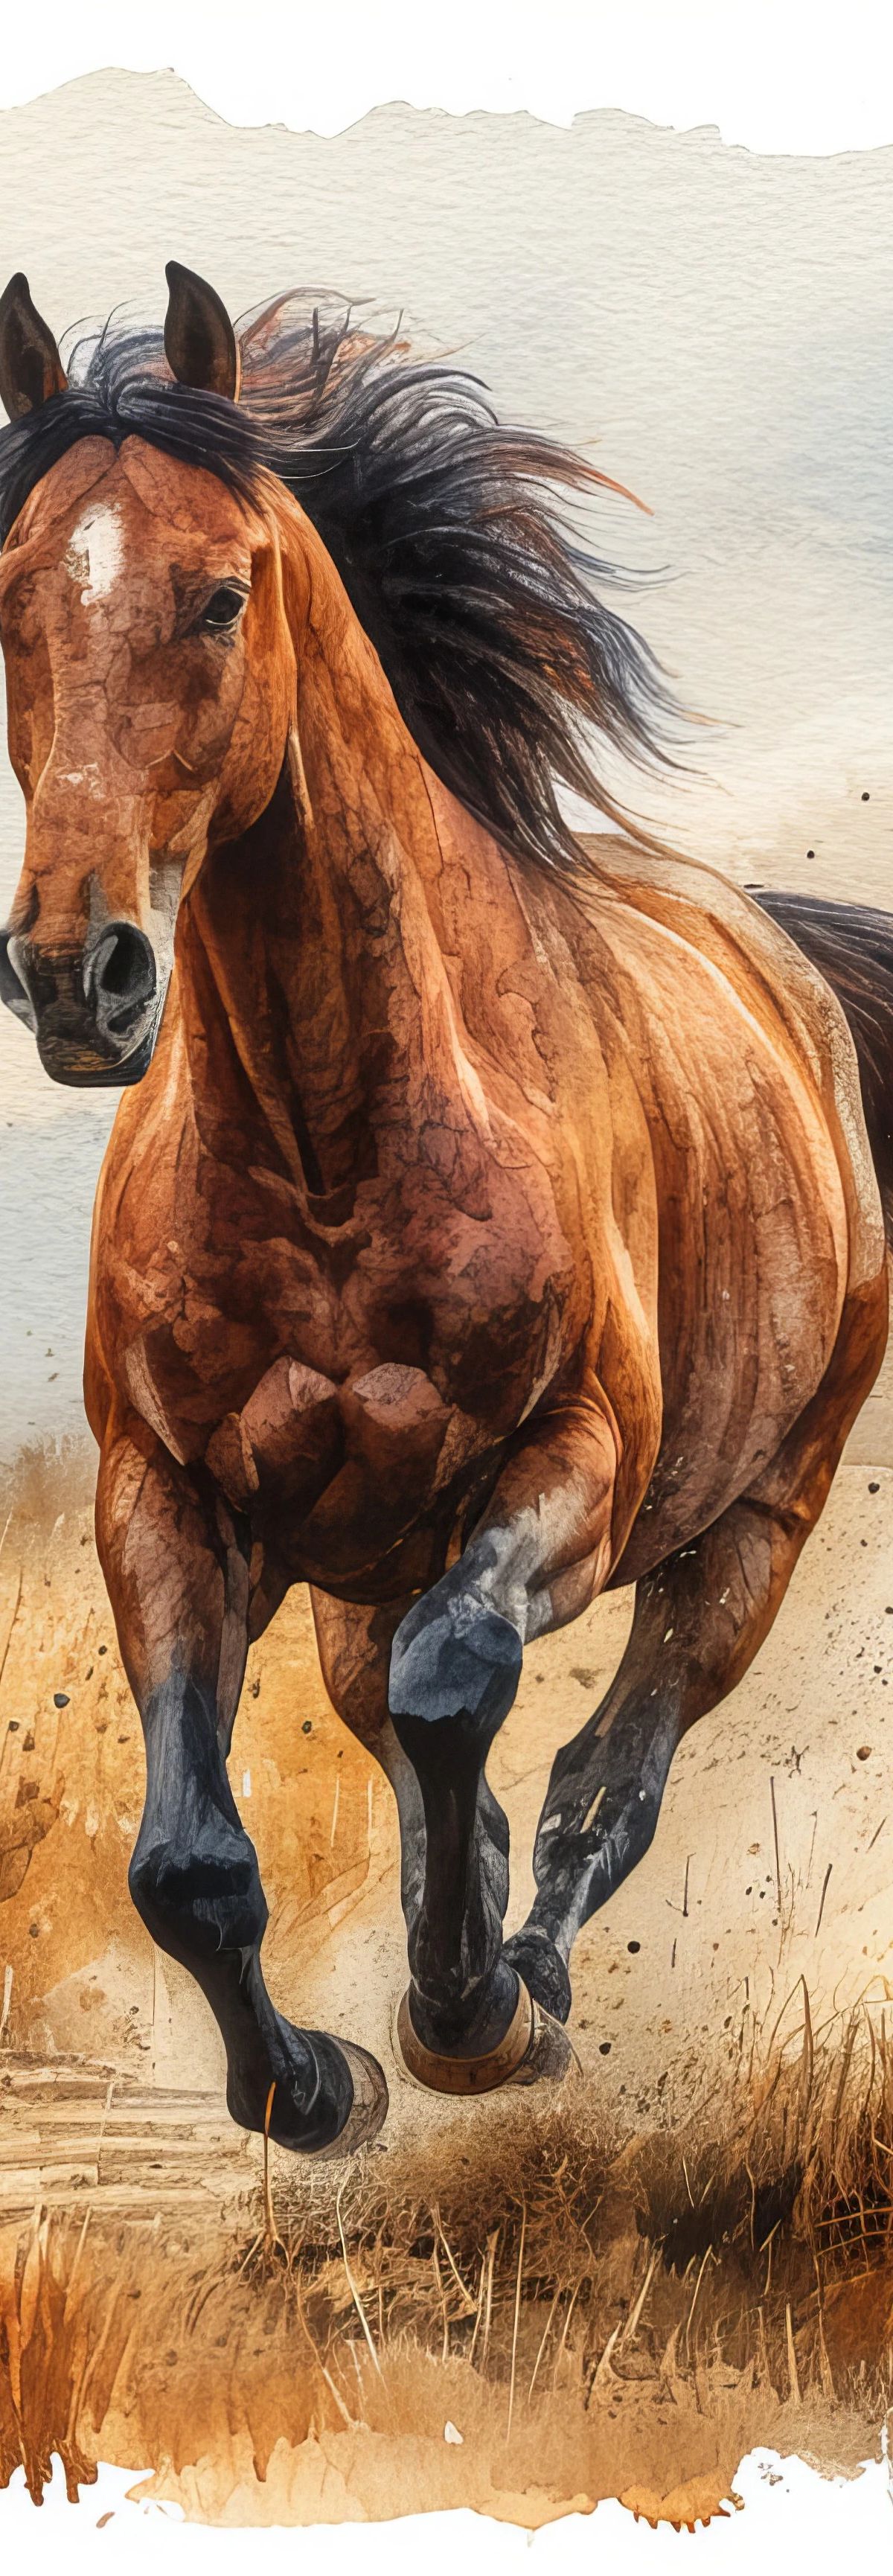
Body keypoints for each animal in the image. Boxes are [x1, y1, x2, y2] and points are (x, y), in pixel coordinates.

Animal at [0, 263, 890, 2160]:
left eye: (221, 592)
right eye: (12, 604)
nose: (76, 975)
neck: (333, 1147)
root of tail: (780, 965)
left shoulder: (572, 1464)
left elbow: (460, 1697)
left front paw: (471, 2017)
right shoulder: (166, 1494)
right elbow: (190, 1857)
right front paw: (312, 2083)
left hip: (746, 1535)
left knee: (593, 1777)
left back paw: (522, 1981)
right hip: (362, 1563)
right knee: (422, 1747)